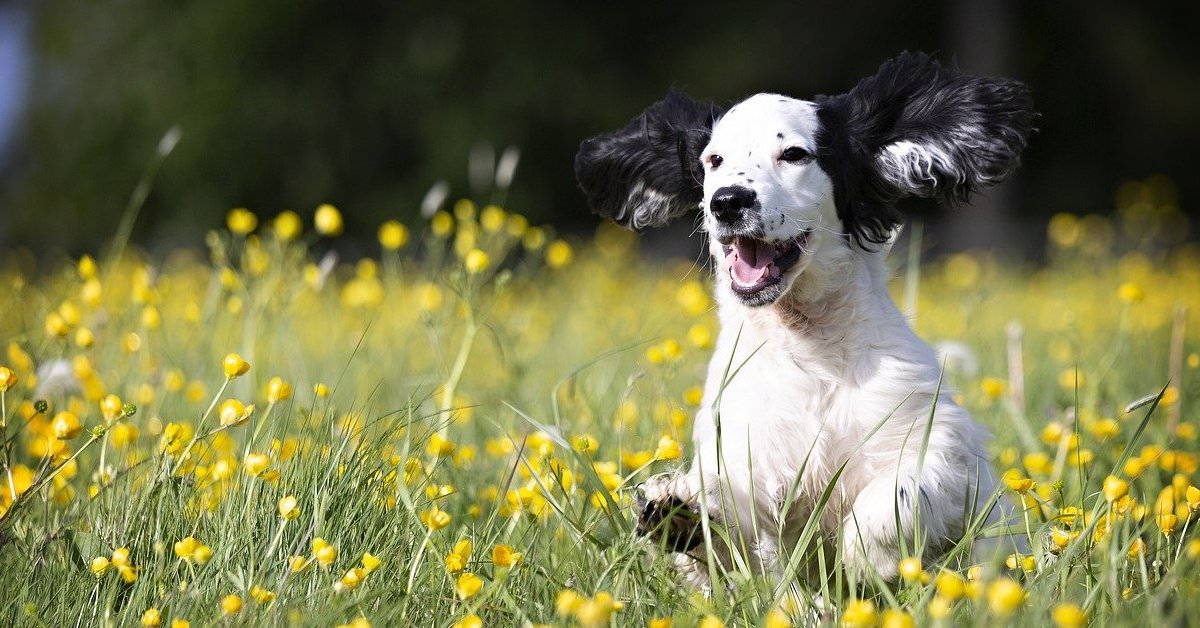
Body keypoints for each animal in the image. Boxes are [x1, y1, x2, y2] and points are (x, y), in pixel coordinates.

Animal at [571, 52, 1032, 590]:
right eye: (713, 160)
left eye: (793, 154)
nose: (727, 201)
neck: (809, 347)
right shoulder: (746, 456)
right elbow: (731, 531)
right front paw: (678, 512)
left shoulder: (938, 446)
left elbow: (898, 491)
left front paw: (869, 558)